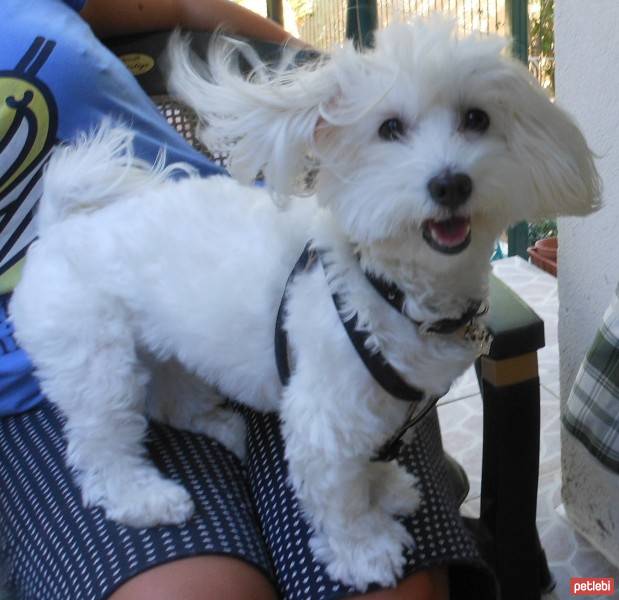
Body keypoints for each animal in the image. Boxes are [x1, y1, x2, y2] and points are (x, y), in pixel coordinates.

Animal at [9, 17, 600, 592]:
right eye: (389, 129)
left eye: (476, 118)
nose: (450, 183)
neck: (380, 285)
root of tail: (58, 226)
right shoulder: (325, 412)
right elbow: (339, 496)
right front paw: (364, 550)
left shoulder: (381, 410)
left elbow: (368, 459)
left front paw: (383, 484)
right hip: (95, 360)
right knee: (102, 445)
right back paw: (144, 496)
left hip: (167, 348)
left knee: (170, 400)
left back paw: (224, 428)